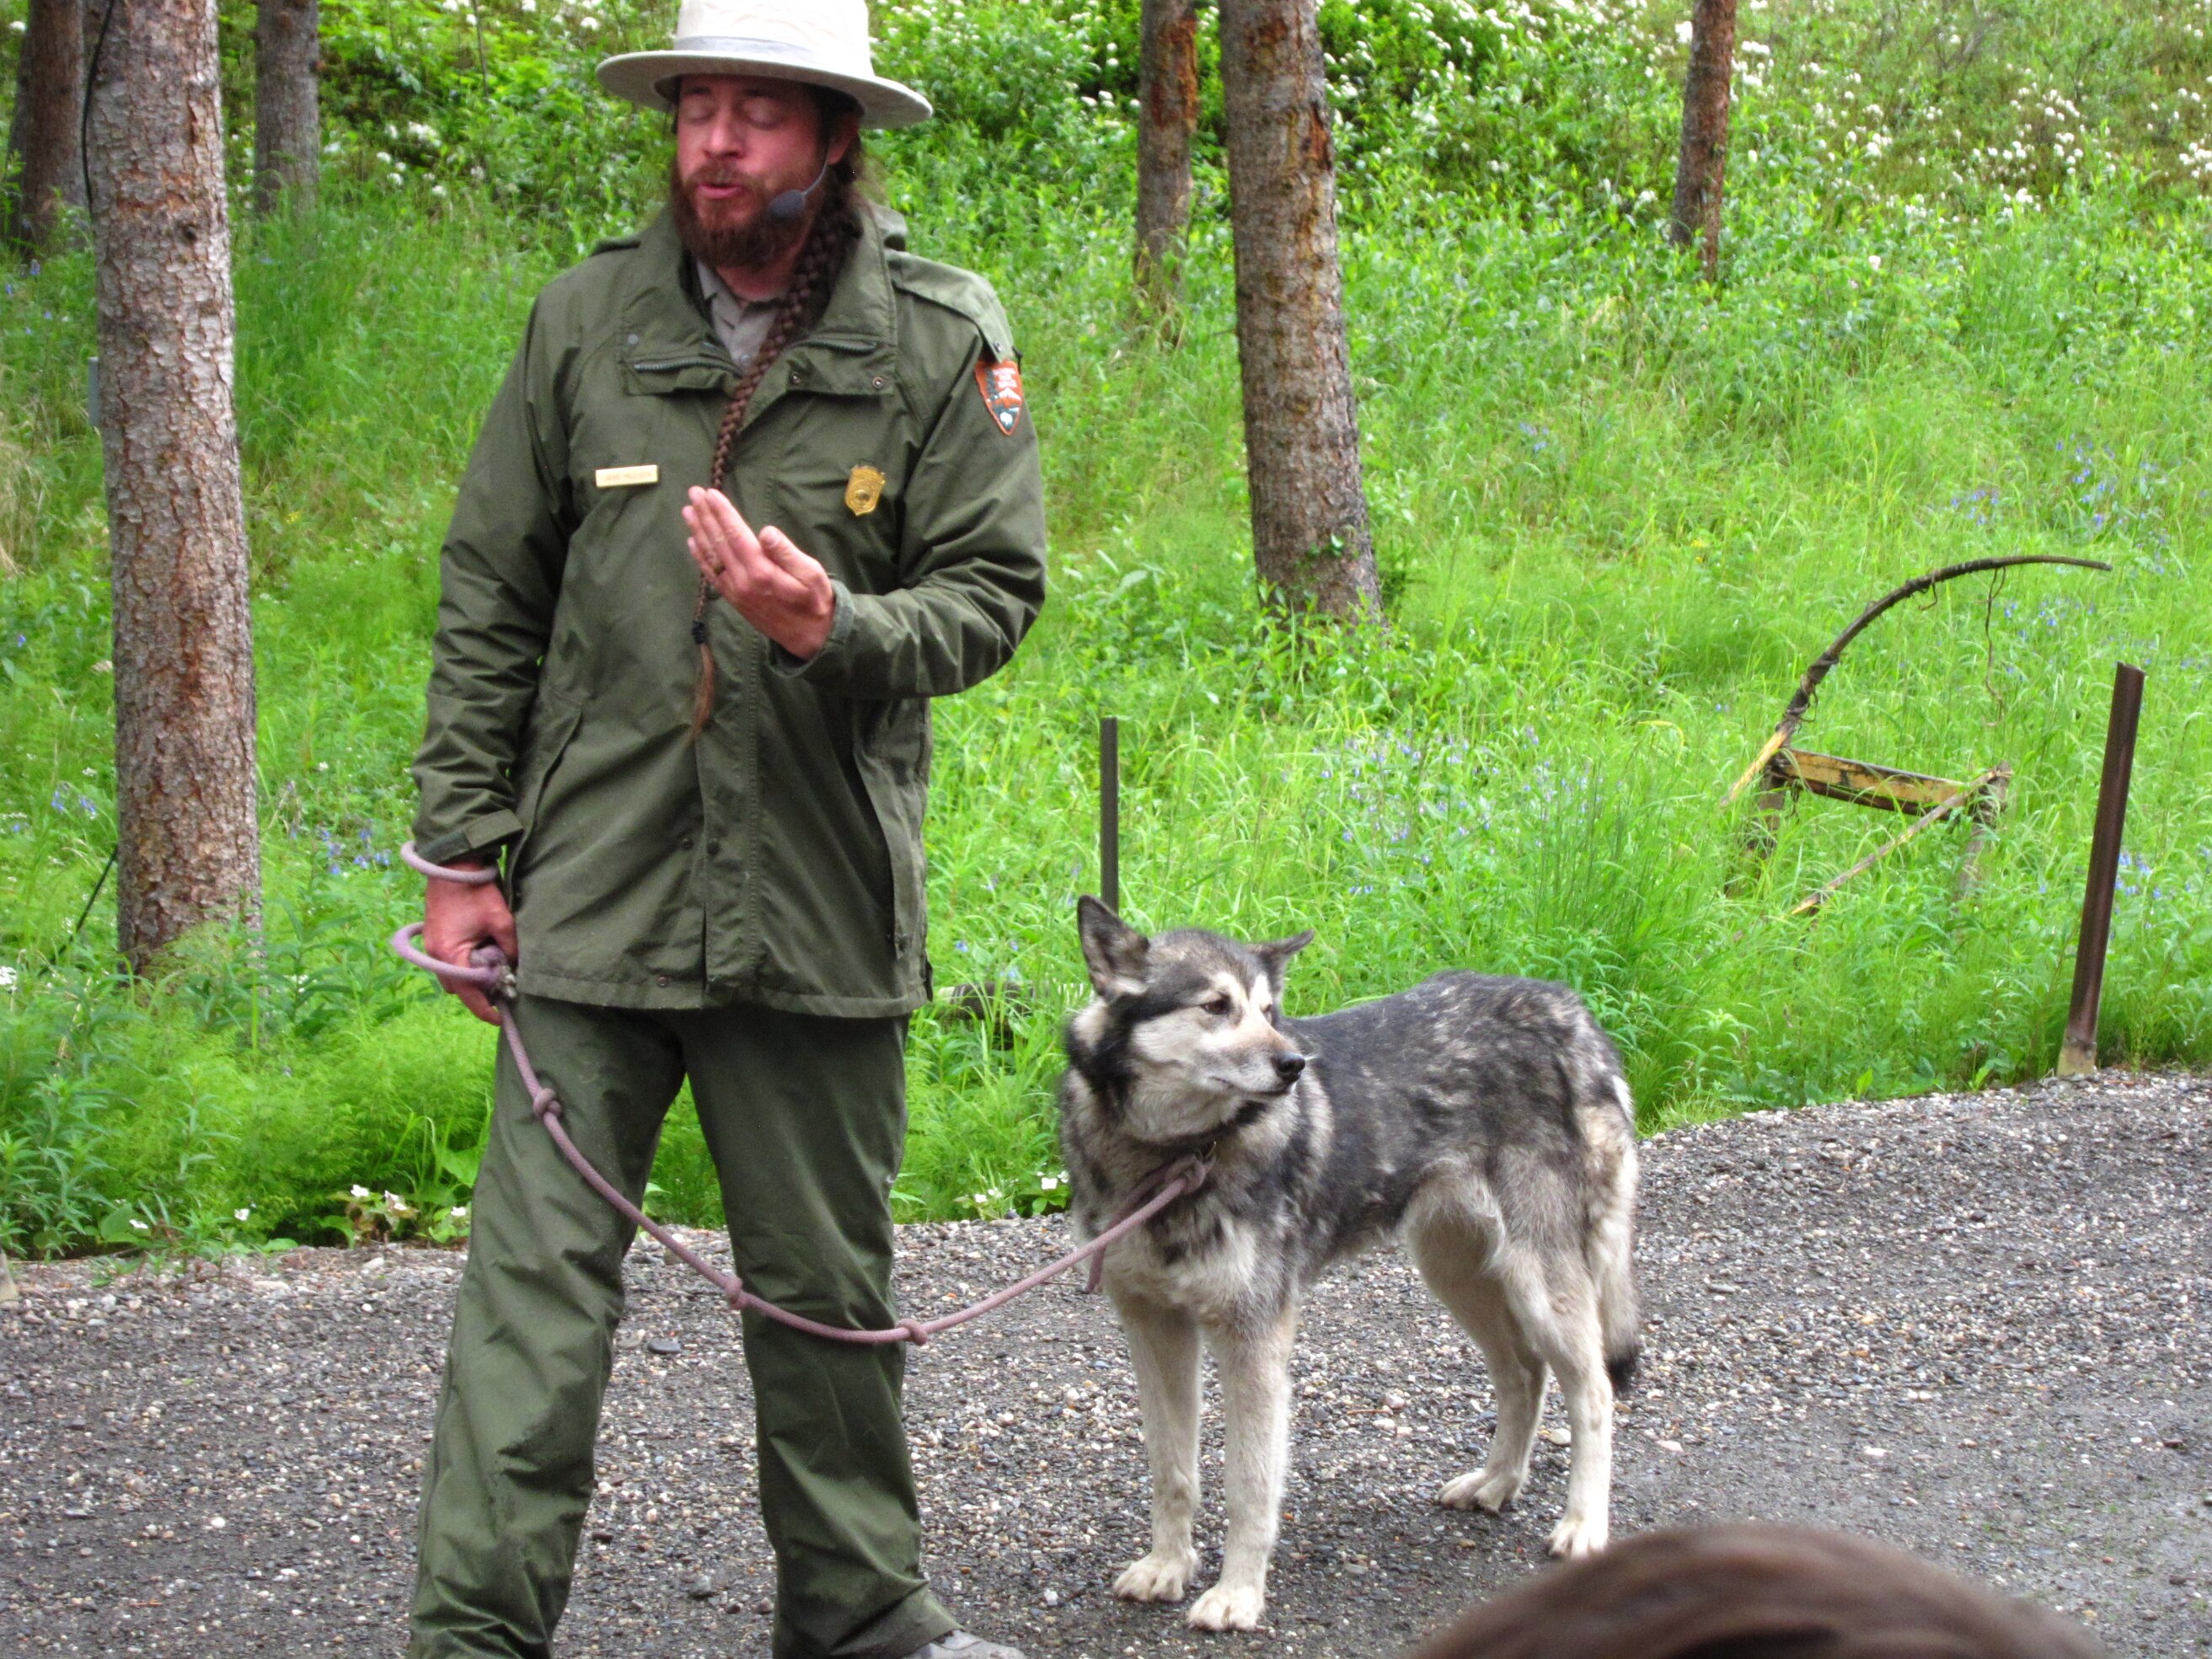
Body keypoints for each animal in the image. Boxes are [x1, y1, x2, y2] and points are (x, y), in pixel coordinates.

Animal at [1058, 897, 1641, 1632]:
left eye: (1268, 1009)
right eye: (1216, 1006)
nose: (1292, 1064)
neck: (1176, 1155)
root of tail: (1569, 1008)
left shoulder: (1253, 1339)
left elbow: (1249, 1486)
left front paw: (1236, 1594)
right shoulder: (1153, 1328)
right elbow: (1173, 1471)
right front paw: (1168, 1566)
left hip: (1540, 1284)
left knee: (1592, 1392)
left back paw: (1583, 1525)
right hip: (1456, 1272)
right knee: (1523, 1374)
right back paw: (1497, 1482)